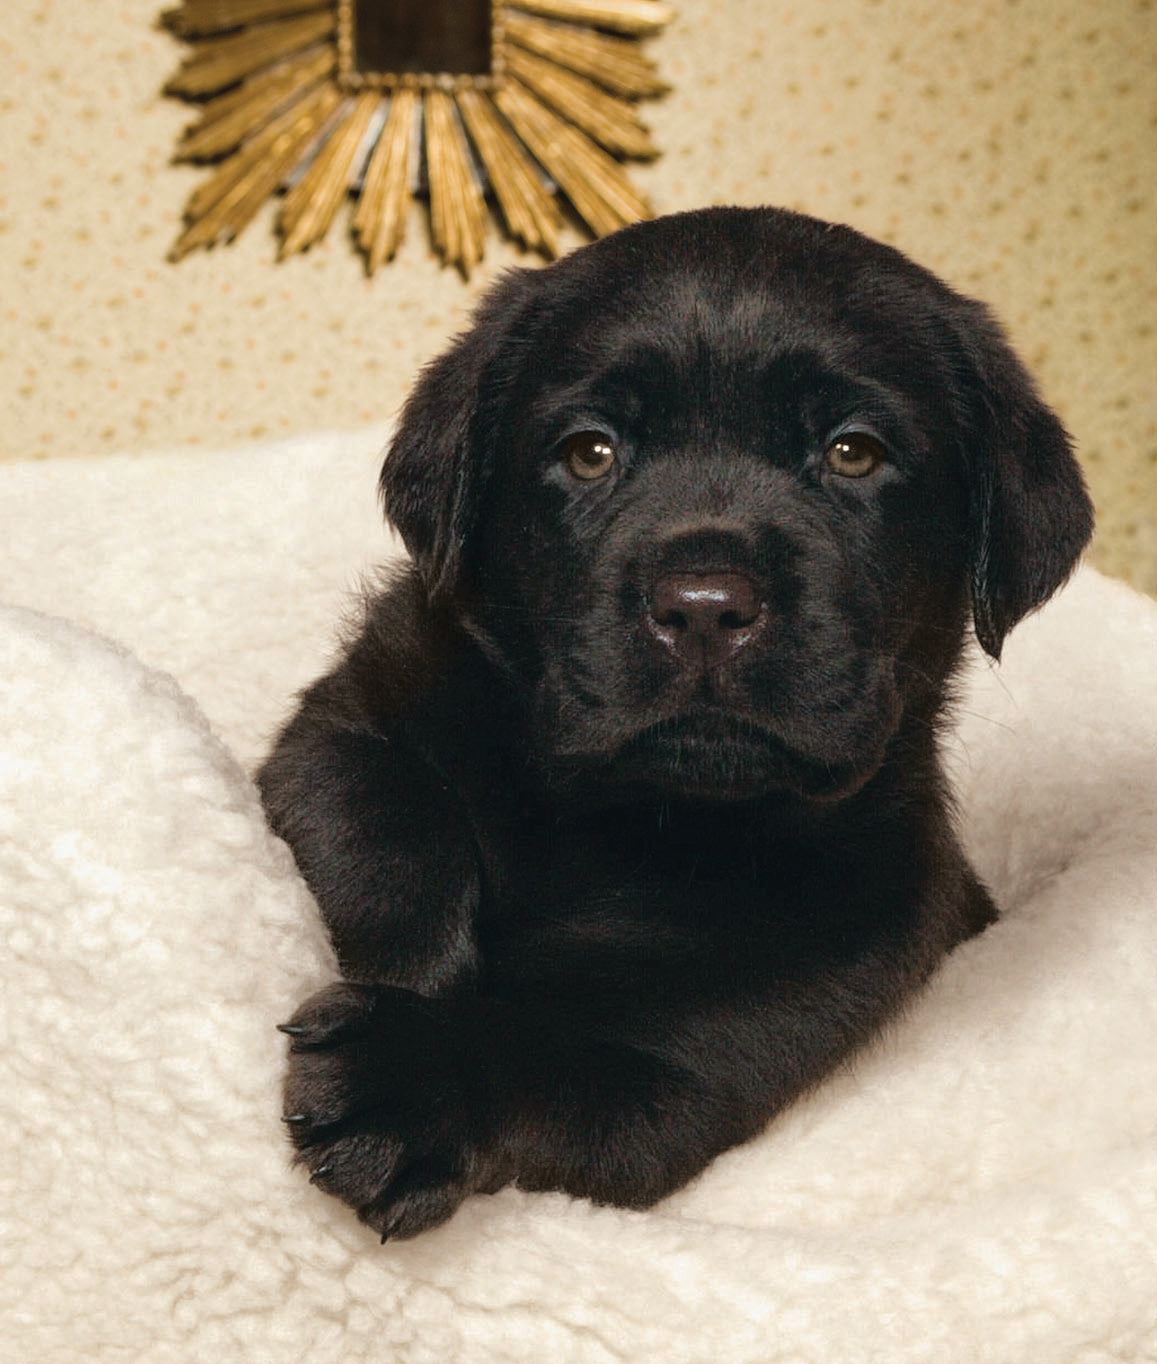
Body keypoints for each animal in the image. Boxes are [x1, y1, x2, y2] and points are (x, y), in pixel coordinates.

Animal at [259, 207, 1091, 1243]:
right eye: (590, 451)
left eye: (853, 452)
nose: (703, 607)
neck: (637, 819)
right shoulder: (348, 723)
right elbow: (386, 824)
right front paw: (413, 975)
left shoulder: (704, 1056)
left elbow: (552, 1051)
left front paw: (408, 1075)